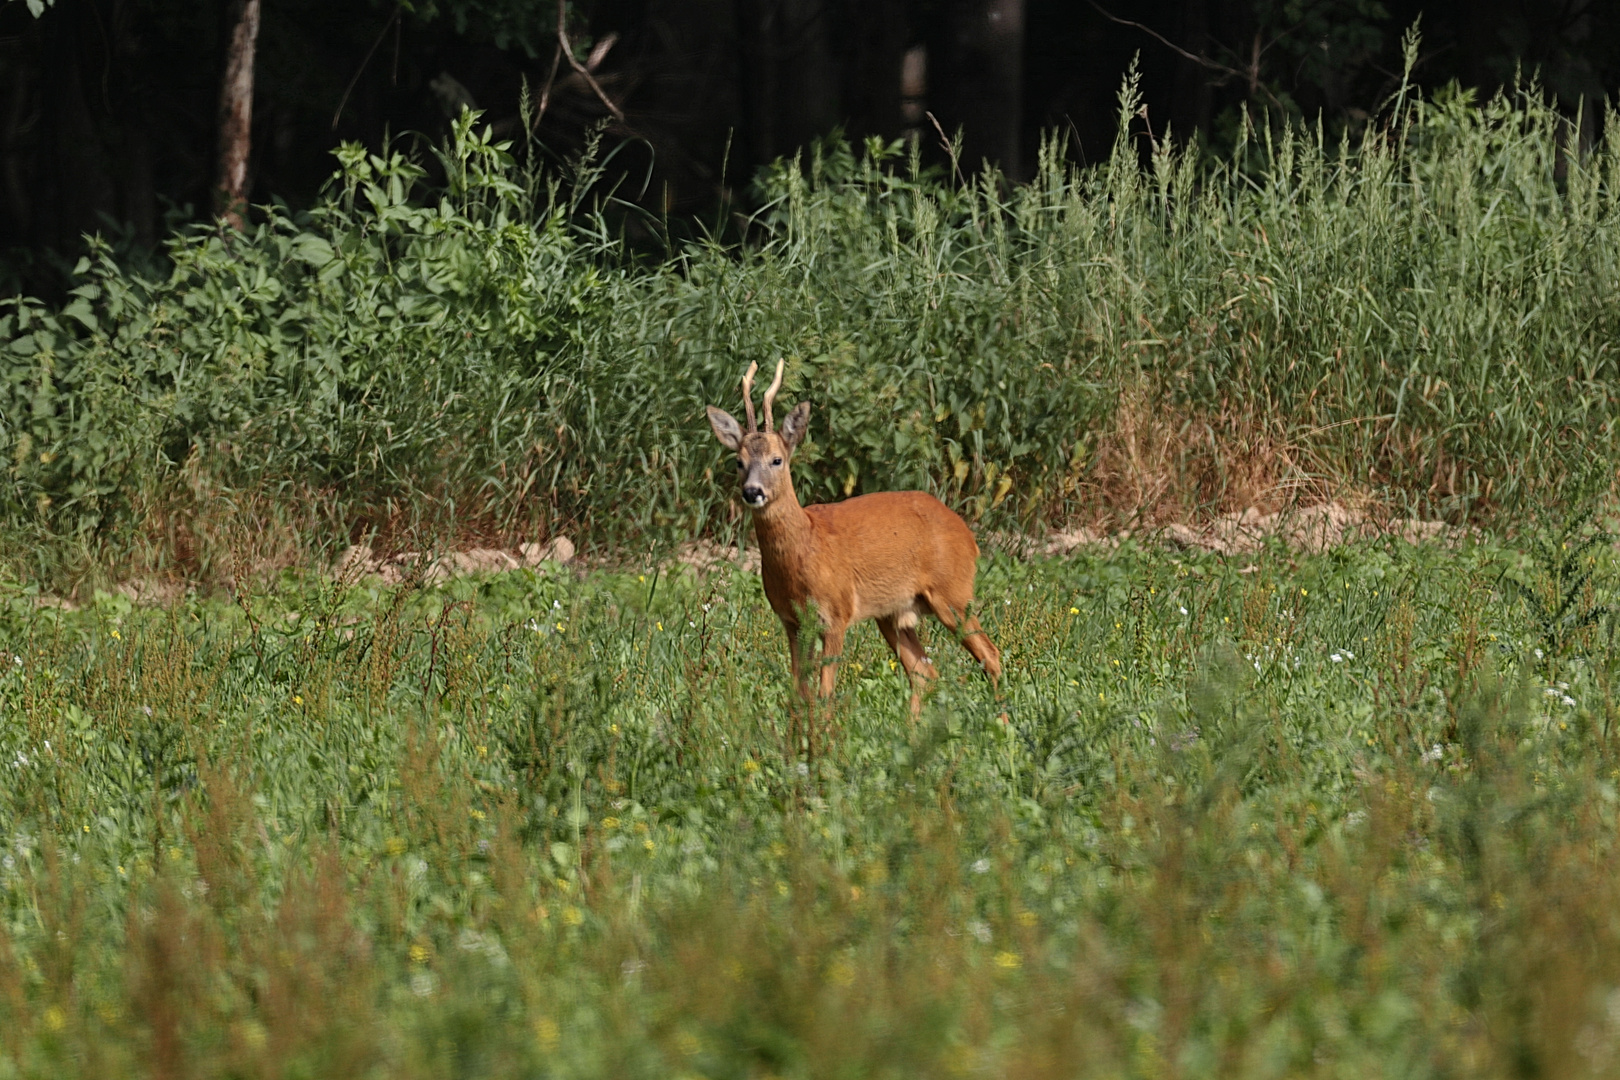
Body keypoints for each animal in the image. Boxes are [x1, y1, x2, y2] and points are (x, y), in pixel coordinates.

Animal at [709, 359, 997, 722]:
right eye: (739, 462)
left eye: (777, 459)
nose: (752, 492)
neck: (804, 549)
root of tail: (968, 536)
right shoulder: (792, 622)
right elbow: (798, 694)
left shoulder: (837, 613)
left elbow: (824, 694)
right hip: (893, 613)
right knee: (924, 672)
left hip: (954, 594)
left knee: (990, 656)